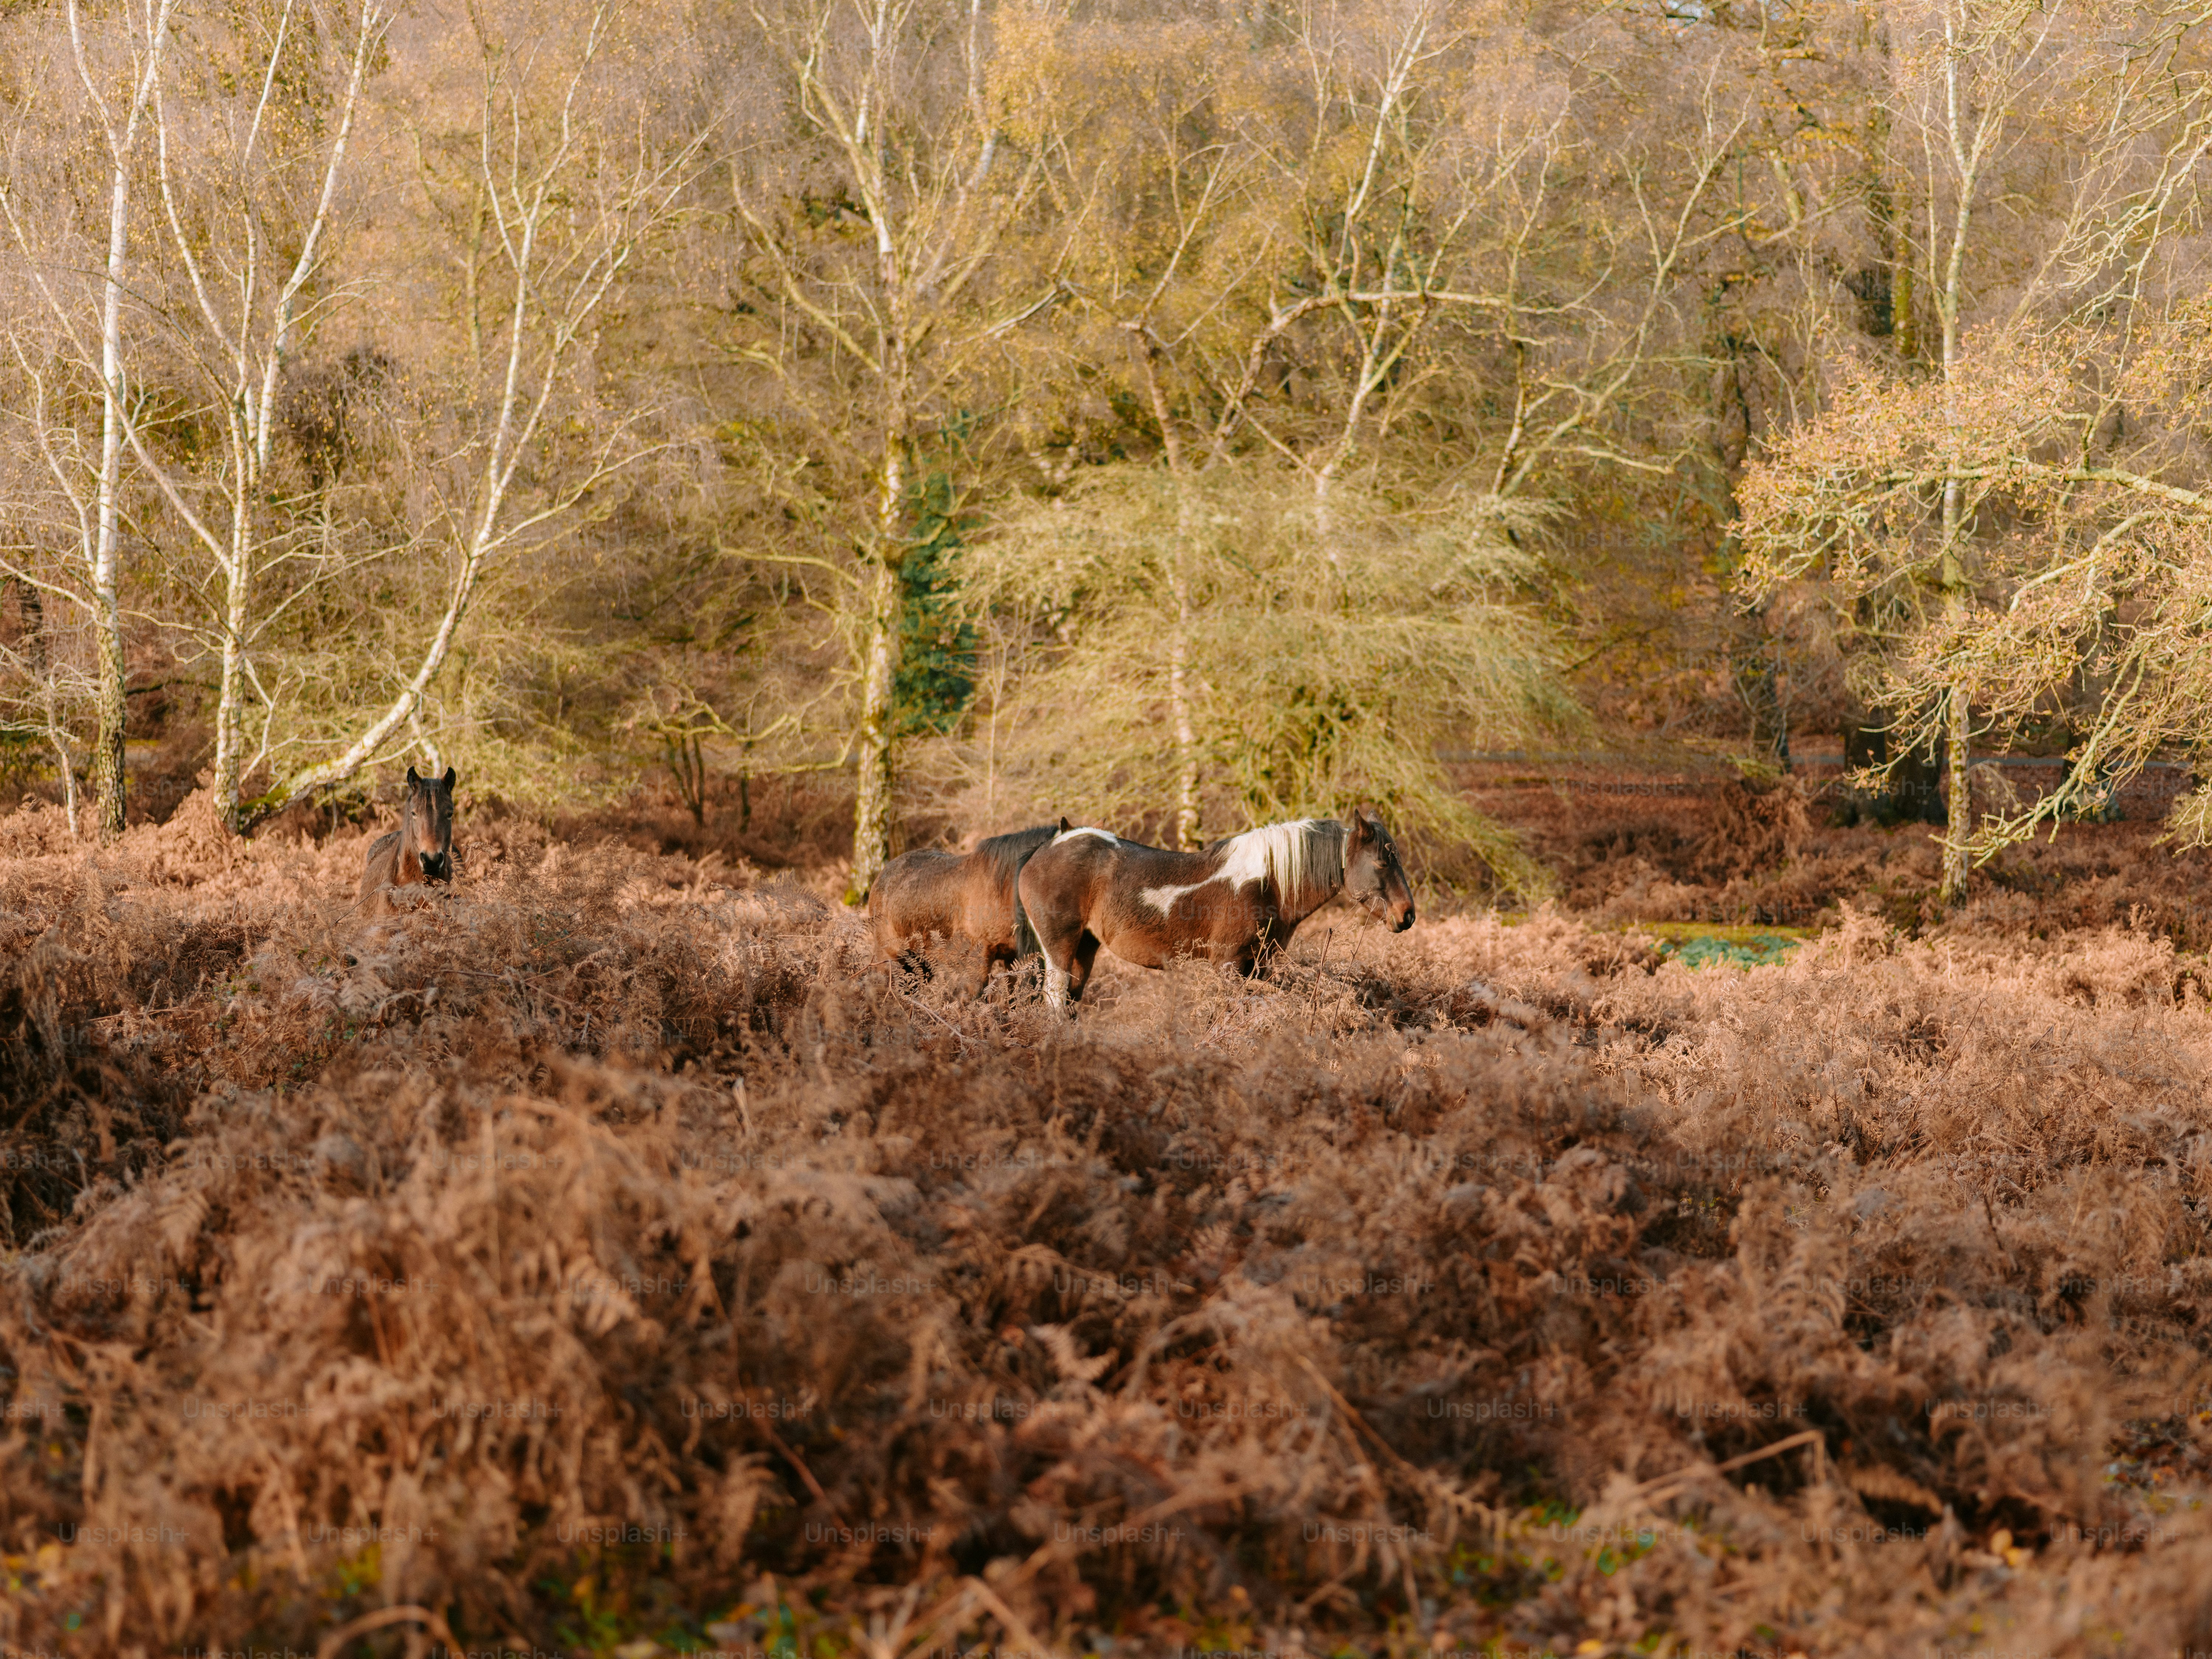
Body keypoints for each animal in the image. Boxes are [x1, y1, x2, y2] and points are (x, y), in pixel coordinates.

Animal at [1015, 809, 1414, 1011]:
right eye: (1382, 862)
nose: (1407, 915)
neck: (1269, 881)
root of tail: (1045, 850)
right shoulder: (1228, 966)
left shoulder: (1259, 967)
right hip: (1060, 949)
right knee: (1054, 1000)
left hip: (1085, 947)